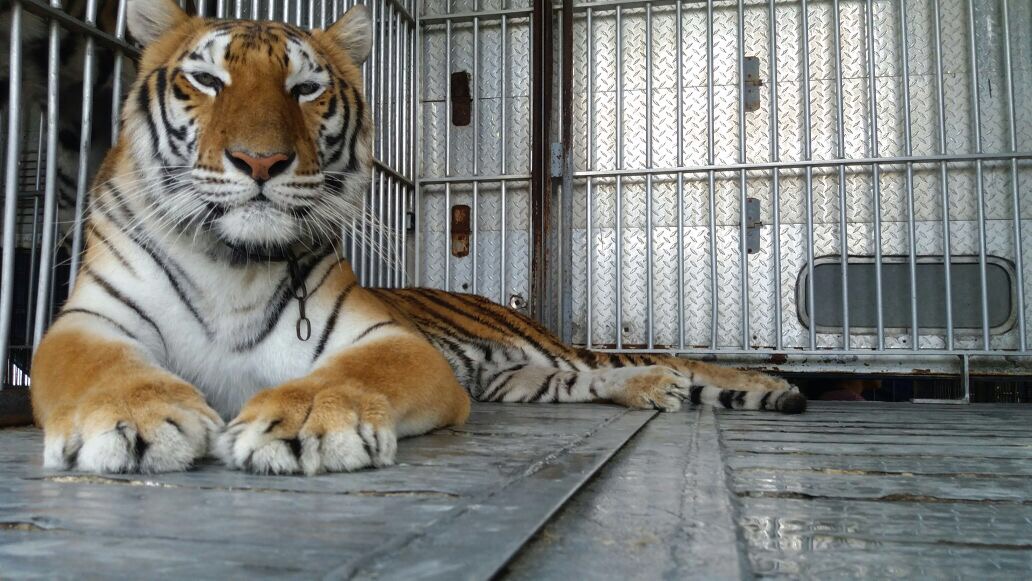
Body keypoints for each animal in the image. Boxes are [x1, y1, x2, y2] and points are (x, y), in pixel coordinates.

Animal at [30, 0, 806, 476]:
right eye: (206, 79)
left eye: (305, 89)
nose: (260, 160)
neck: (234, 264)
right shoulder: (90, 322)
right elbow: (105, 368)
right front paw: (138, 417)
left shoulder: (388, 339)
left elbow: (346, 376)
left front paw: (305, 419)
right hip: (524, 379)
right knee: (596, 377)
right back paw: (654, 389)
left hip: (546, 349)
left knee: (657, 356)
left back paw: (762, 384)